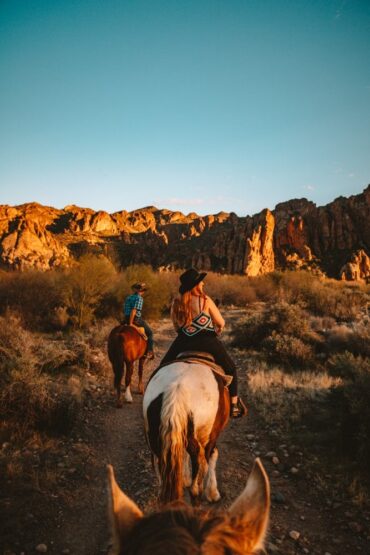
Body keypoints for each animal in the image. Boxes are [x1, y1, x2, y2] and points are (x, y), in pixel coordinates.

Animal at [143, 358, 230, 506]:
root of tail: (178, 388)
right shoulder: (211, 440)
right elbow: (213, 456)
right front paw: (213, 493)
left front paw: (184, 478)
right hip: (203, 440)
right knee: (198, 473)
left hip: (155, 440)